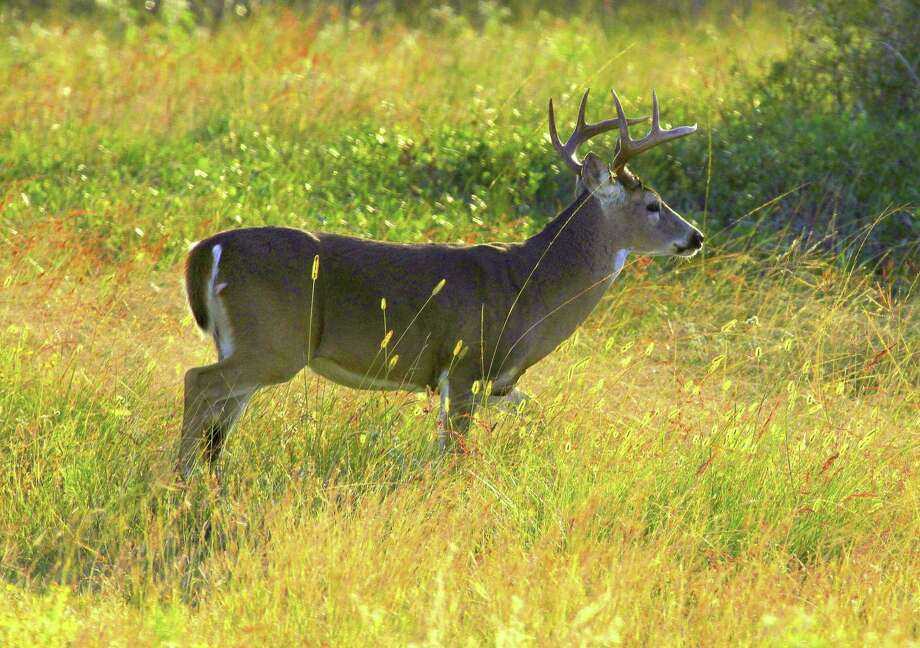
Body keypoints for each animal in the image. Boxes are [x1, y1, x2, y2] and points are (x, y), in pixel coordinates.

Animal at [177, 88, 703, 479]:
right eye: (654, 204)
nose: (695, 236)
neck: (529, 288)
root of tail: (208, 248)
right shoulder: (466, 363)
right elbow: (454, 452)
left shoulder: (498, 382)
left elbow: (532, 415)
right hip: (275, 342)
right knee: (198, 382)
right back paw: (181, 477)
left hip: (248, 345)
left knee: (219, 417)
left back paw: (206, 477)